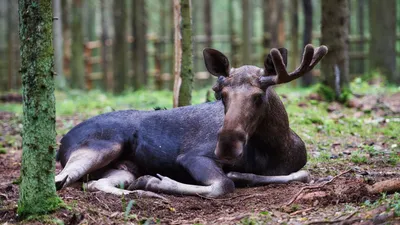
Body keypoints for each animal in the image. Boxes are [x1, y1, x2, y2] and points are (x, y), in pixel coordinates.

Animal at [55, 44, 328, 198]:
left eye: (259, 96)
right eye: (221, 94)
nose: (226, 147)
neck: (277, 149)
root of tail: (61, 142)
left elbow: (303, 174)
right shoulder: (192, 156)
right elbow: (223, 184)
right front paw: (157, 181)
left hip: (124, 167)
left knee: (94, 184)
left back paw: (141, 192)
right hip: (103, 145)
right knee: (62, 179)